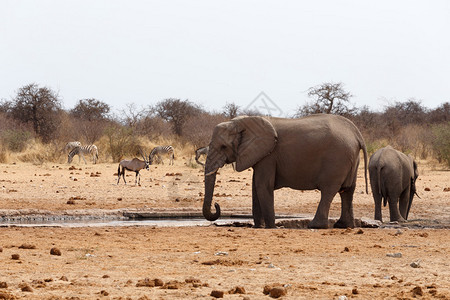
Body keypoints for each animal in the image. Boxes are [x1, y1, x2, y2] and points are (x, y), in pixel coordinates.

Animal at [202, 113, 368, 229]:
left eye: (223, 147)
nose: (216, 205)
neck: (243, 122)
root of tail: (357, 135)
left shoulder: (269, 156)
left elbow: (263, 186)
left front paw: (271, 227)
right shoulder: (261, 156)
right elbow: (256, 187)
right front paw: (259, 226)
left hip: (336, 160)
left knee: (329, 190)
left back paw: (315, 226)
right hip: (350, 159)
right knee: (348, 191)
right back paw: (343, 225)